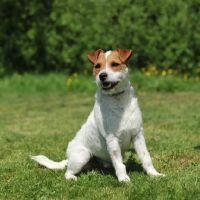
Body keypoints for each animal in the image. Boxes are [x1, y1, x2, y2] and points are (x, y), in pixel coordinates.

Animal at [30, 48, 164, 181]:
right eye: (97, 66)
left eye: (115, 64)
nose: (102, 76)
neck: (118, 100)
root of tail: (68, 158)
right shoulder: (112, 138)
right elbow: (119, 164)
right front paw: (123, 179)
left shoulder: (137, 135)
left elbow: (146, 157)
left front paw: (154, 174)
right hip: (82, 155)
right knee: (68, 172)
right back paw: (72, 177)